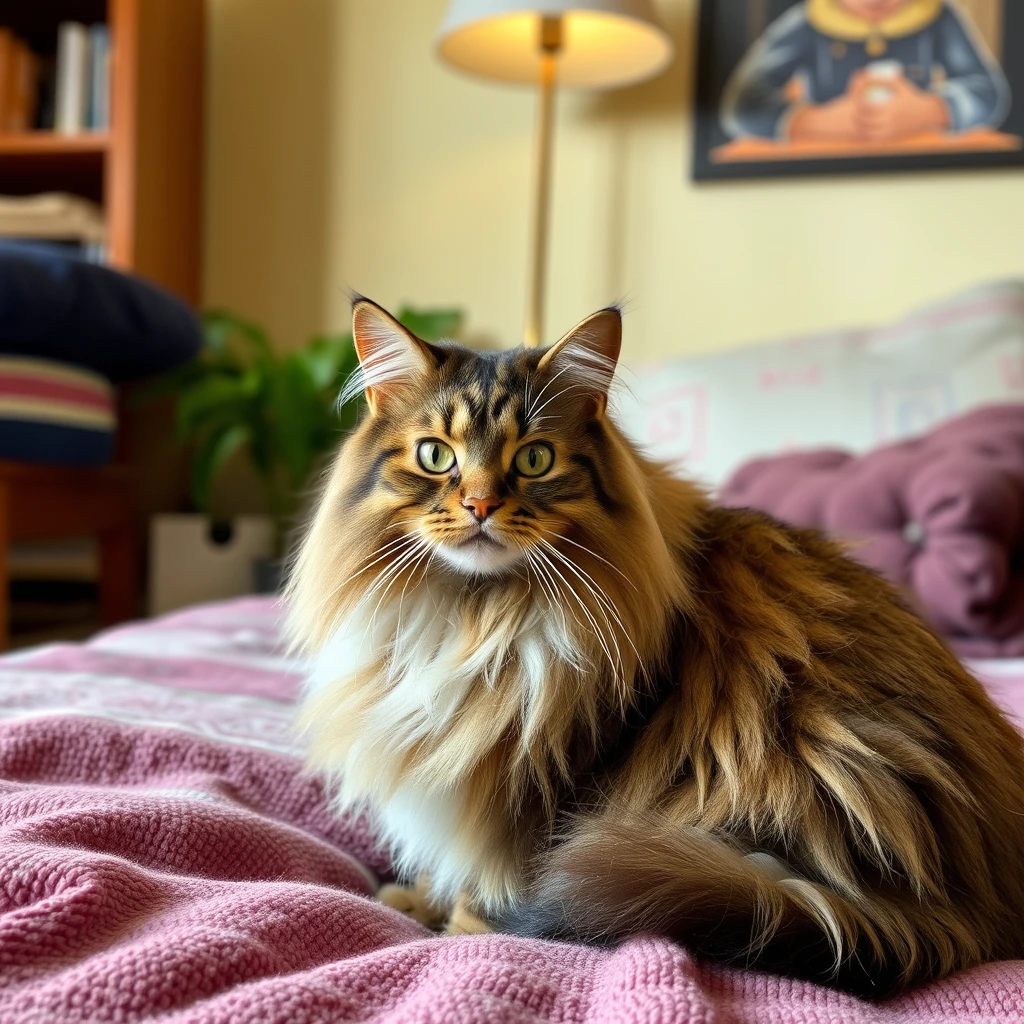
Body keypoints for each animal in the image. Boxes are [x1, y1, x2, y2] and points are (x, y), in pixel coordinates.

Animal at [284, 299, 1024, 999]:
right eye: (437, 456)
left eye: (533, 459)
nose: (480, 506)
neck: (478, 617)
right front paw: (411, 898)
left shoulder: (546, 782)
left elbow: (490, 876)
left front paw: (456, 927)